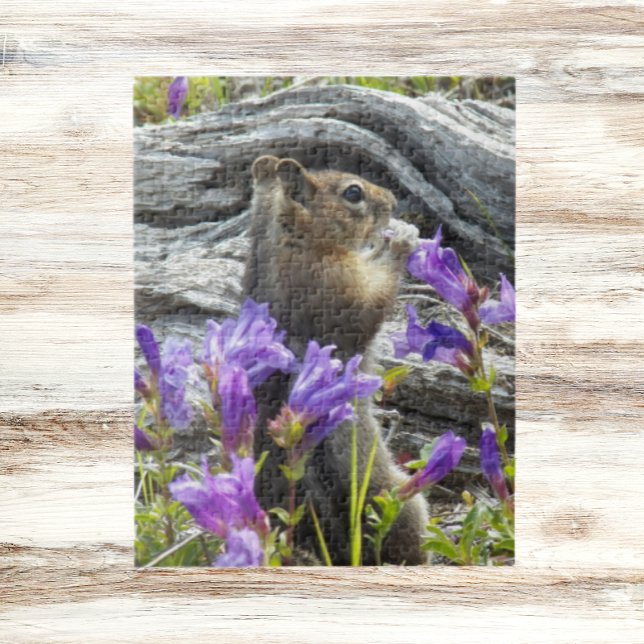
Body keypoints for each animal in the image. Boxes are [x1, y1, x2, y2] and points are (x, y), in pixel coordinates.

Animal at [243, 155, 429, 565]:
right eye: (353, 193)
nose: (393, 201)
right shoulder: (339, 288)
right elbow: (372, 301)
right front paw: (401, 239)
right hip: (404, 502)